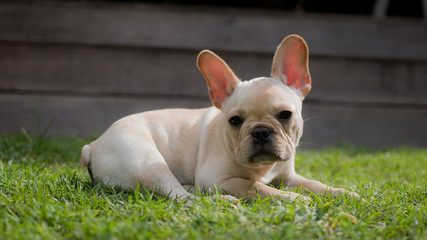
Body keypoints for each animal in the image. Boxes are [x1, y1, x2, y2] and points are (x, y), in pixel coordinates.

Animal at [81, 34, 362, 203]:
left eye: (285, 115)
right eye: (235, 121)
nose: (261, 131)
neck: (263, 168)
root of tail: (93, 145)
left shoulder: (289, 177)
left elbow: (314, 183)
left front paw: (344, 193)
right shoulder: (215, 178)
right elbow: (254, 186)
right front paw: (294, 199)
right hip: (148, 163)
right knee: (181, 198)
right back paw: (221, 201)